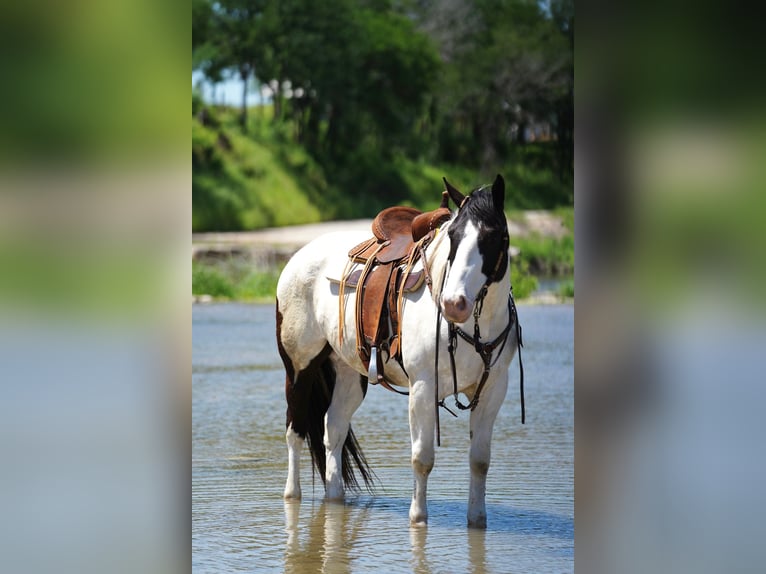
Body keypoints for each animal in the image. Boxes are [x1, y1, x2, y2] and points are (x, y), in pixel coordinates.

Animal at [280, 176, 524, 532]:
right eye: (453, 235)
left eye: (493, 236)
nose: (454, 303)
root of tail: (299, 257)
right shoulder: (423, 387)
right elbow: (422, 459)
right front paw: (418, 518)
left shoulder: (492, 390)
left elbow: (480, 461)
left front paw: (477, 521)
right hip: (300, 368)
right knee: (295, 430)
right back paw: (292, 494)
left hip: (349, 374)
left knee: (333, 429)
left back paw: (335, 497)